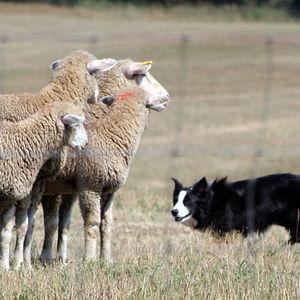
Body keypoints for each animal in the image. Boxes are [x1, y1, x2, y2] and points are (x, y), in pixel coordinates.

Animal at [0, 101, 88, 270]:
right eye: (77, 124)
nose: (86, 143)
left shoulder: (10, 195)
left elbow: (5, 232)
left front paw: (5, 265)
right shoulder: (9, 194)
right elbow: (7, 233)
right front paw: (6, 267)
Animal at [30, 59, 170, 264]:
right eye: (143, 75)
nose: (166, 97)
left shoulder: (97, 189)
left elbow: (98, 222)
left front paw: (105, 259)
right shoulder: (87, 185)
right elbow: (75, 221)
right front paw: (87, 259)